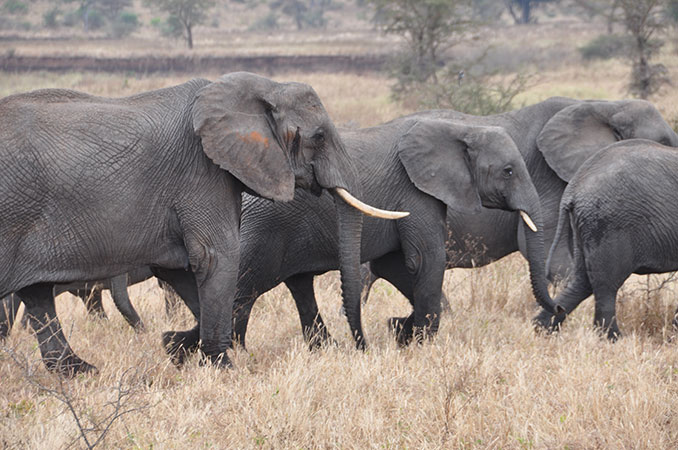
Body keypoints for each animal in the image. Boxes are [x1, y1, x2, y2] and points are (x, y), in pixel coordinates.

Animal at [0, 72, 403, 375]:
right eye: (318, 137)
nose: (363, 348)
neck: (261, 88)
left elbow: (182, 270)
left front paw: (176, 345)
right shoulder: (201, 173)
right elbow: (216, 258)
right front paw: (222, 366)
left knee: (37, 294)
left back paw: (81, 371)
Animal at [230, 117, 559, 350]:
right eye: (508, 171)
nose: (555, 307)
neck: (459, 129)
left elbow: (395, 265)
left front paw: (399, 329)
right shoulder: (415, 193)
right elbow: (424, 260)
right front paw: (419, 342)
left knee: (299, 285)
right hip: (264, 227)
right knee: (246, 288)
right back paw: (235, 353)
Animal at [534, 139, 678, 339]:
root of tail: (573, 188)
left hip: (585, 228)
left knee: (582, 282)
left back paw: (543, 329)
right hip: (609, 224)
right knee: (606, 285)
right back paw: (613, 338)